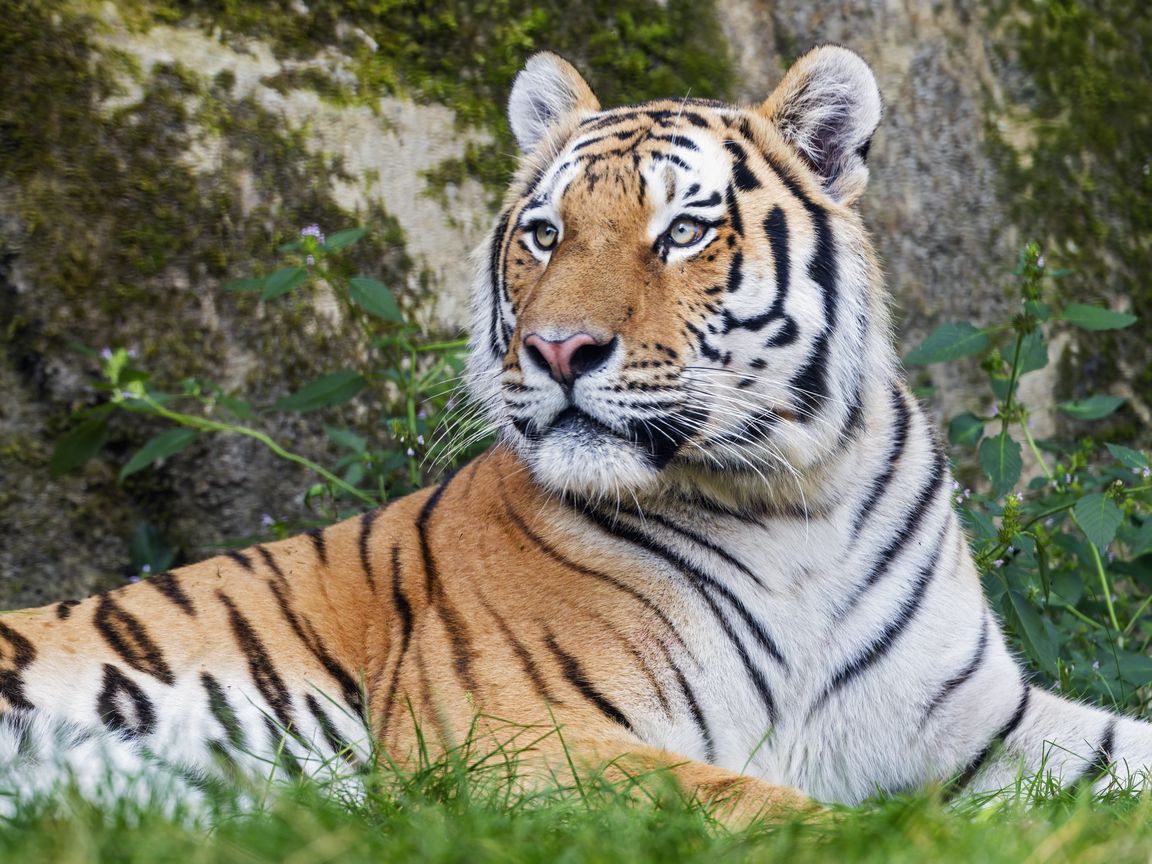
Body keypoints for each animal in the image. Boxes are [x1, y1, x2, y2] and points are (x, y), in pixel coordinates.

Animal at [2, 45, 1150, 821]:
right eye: (545, 233)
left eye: (683, 230)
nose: (559, 350)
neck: (793, 501)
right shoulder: (512, 732)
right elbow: (761, 809)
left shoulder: (977, 719)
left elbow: (1120, 752)